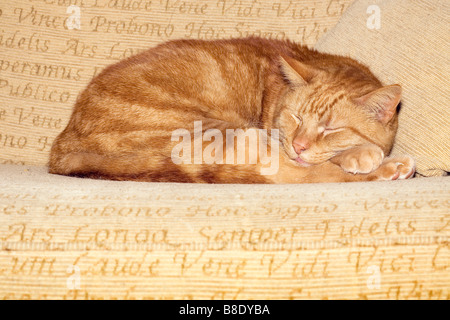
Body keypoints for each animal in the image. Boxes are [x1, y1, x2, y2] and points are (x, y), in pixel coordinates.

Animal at [49, 37, 414, 182]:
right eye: (296, 117)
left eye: (331, 128)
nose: (299, 145)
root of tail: (61, 150)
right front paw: (363, 155)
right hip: (225, 135)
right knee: (303, 175)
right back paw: (391, 166)